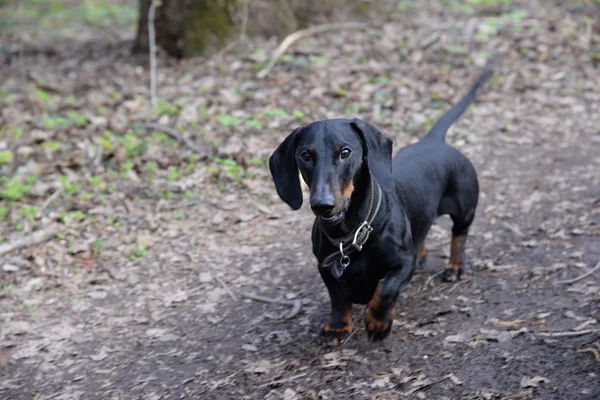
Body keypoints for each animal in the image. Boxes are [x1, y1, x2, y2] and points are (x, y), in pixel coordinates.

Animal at [270, 67, 492, 346]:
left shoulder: (402, 264)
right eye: (305, 155)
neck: (350, 232)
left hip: (464, 209)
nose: (322, 205)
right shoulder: (326, 270)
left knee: (459, 235)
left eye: (345, 152)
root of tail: (434, 141)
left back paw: (455, 266)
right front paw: (337, 327)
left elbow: (386, 290)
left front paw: (378, 323)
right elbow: (338, 300)